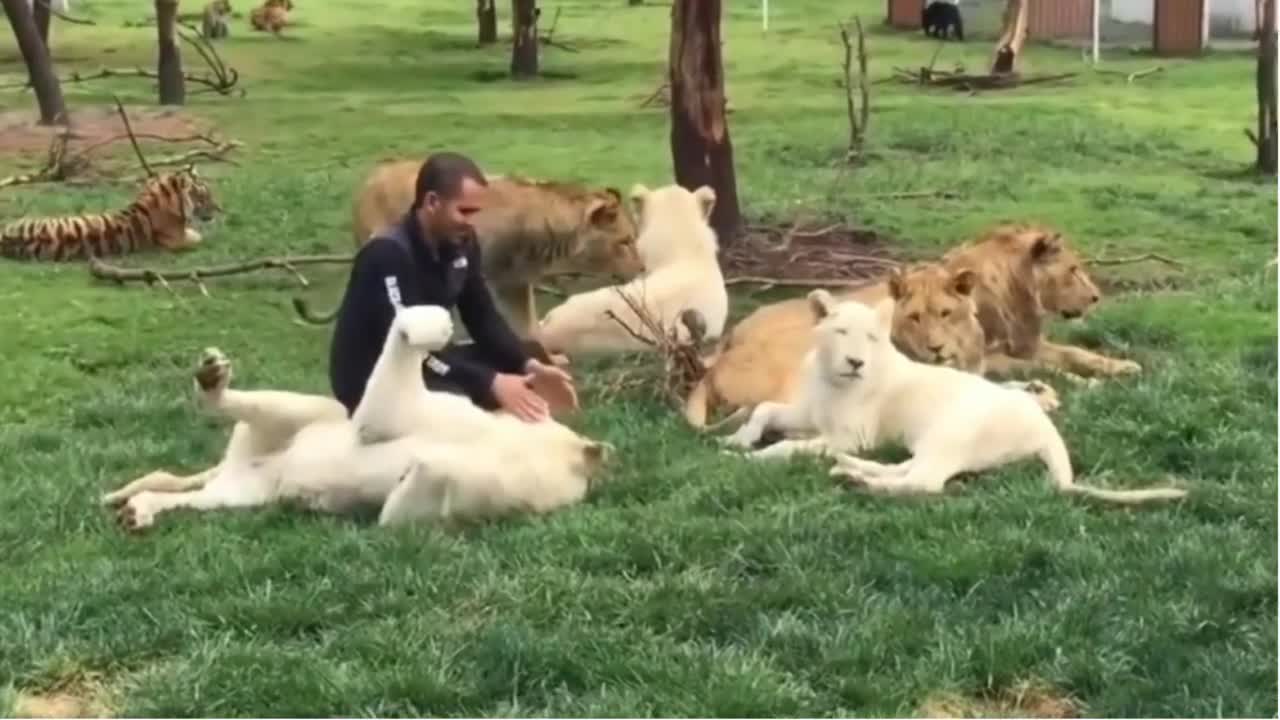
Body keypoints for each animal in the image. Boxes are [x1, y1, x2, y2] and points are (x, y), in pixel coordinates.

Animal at [102, 299, 611, 530]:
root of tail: (239, 465)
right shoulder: (425, 411)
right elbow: (391, 410)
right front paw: (433, 323)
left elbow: (418, 495)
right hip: (309, 412)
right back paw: (211, 379)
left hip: (243, 492)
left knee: (196, 495)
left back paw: (138, 510)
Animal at [727, 286, 1182, 504]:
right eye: (841, 332)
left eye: (871, 338)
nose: (855, 362)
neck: (831, 378)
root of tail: (1046, 428)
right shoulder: (807, 412)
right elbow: (763, 409)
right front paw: (737, 440)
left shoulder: (851, 435)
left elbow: (786, 447)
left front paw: (753, 458)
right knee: (908, 469)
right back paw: (848, 471)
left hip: (949, 432)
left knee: (924, 482)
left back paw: (858, 480)